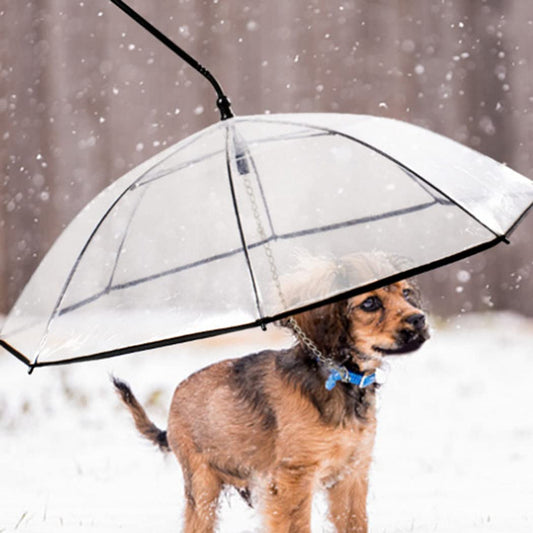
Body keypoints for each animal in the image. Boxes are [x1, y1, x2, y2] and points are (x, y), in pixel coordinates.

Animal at [112, 255, 428, 532]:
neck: (340, 378)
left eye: (406, 293)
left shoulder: (352, 475)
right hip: (202, 488)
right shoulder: (293, 480)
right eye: (370, 303)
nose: (421, 320)